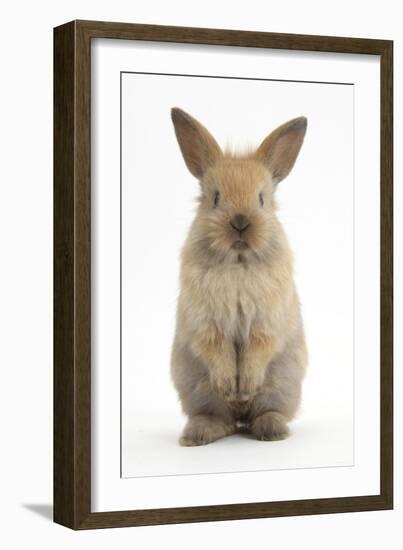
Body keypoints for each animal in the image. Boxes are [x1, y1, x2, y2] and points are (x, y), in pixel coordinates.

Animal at [171, 108, 310, 448]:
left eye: (261, 198)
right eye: (215, 198)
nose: (240, 222)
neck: (237, 262)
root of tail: (239, 419)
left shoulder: (266, 324)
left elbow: (257, 350)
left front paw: (244, 386)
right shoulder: (207, 324)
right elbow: (217, 349)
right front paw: (229, 384)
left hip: (281, 384)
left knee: (265, 412)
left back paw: (271, 429)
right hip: (197, 388)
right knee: (219, 417)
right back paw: (199, 433)